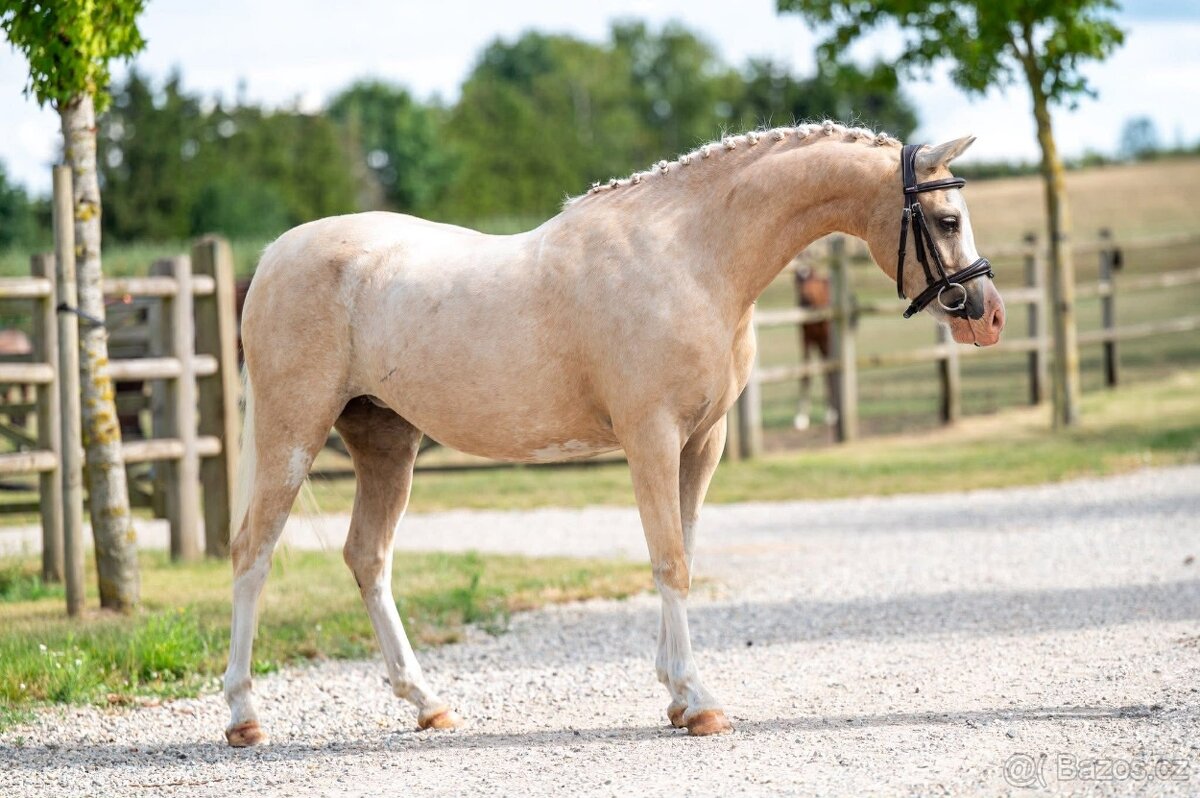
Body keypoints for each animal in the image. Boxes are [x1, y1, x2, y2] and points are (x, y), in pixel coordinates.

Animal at [222, 122, 1005, 746]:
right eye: (944, 218)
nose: (988, 315)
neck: (691, 256)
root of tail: (271, 259)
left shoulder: (703, 442)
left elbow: (682, 548)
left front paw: (676, 695)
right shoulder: (651, 436)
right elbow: (671, 562)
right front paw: (700, 703)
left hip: (386, 442)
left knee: (369, 558)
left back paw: (429, 705)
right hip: (293, 433)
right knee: (253, 553)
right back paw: (243, 717)